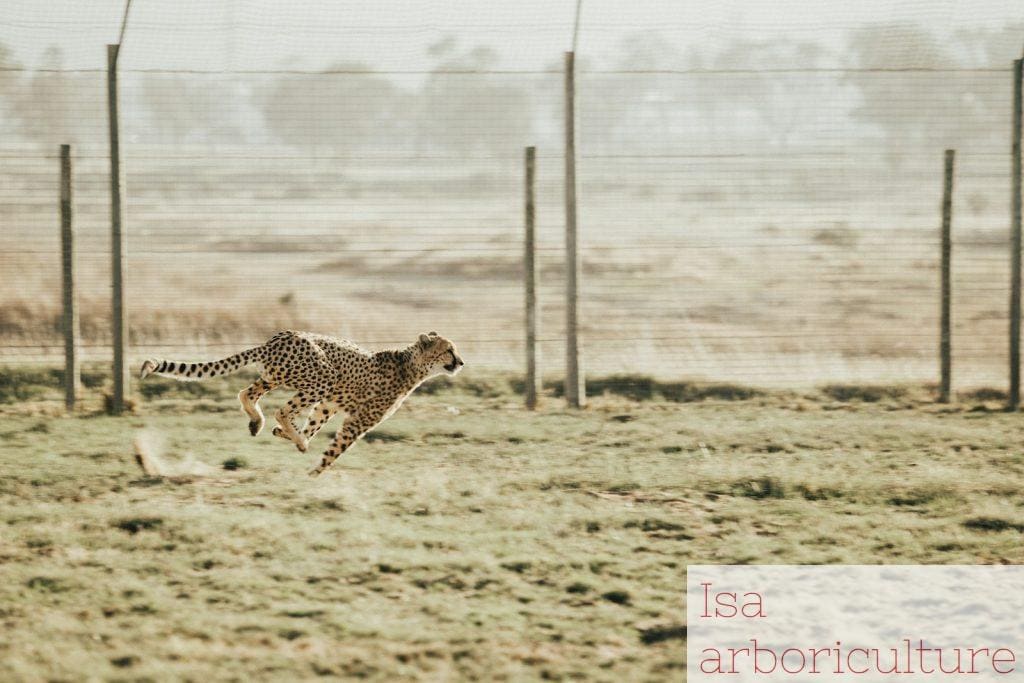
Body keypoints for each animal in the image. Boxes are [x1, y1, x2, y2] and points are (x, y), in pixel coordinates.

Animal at [139, 330, 464, 476]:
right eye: (449, 350)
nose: (461, 362)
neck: (410, 364)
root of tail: (277, 338)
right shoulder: (357, 420)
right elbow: (335, 449)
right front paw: (314, 472)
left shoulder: (329, 404)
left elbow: (315, 424)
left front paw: (291, 437)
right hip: (322, 376)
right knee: (281, 409)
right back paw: (290, 435)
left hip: (278, 377)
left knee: (247, 393)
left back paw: (260, 424)